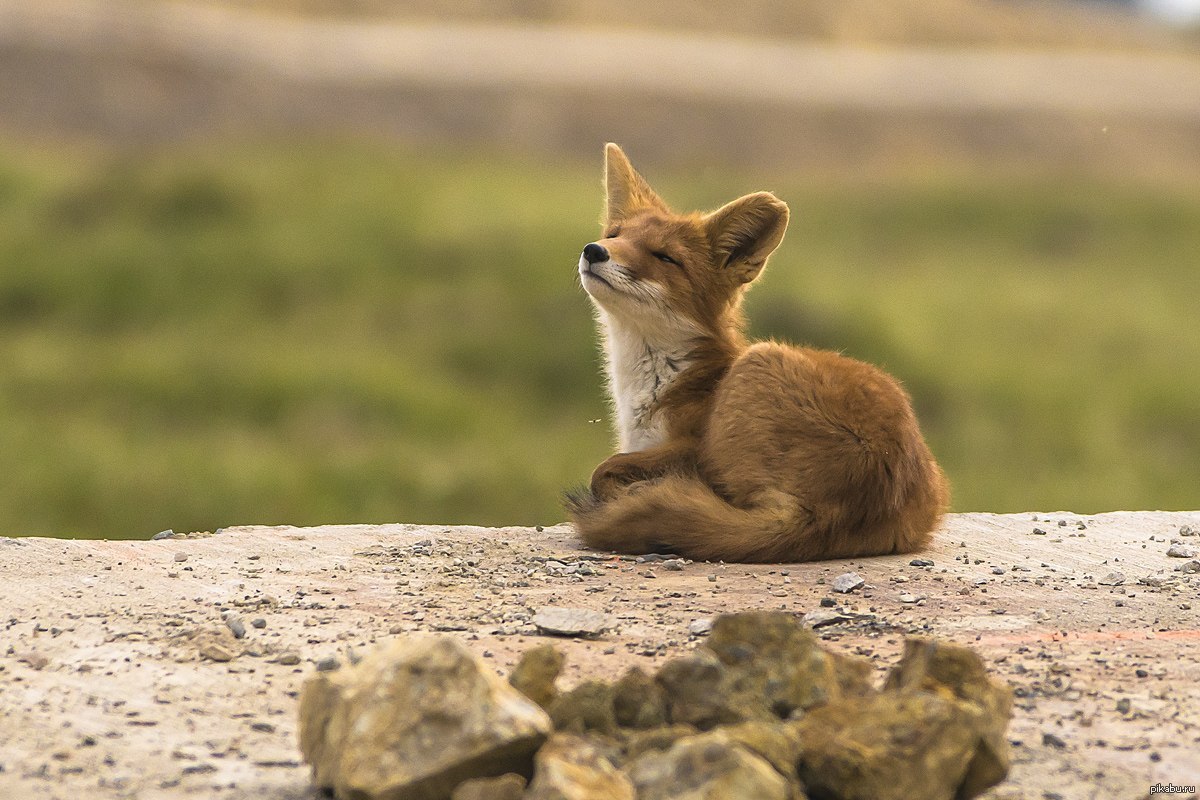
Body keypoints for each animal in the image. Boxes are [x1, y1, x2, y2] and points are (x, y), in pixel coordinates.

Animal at [566, 143, 950, 566]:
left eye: (665, 257)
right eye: (614, 235)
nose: (594, 250)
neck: (654, 384)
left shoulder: (694, 447)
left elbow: (604, 470)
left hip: (756, 368)